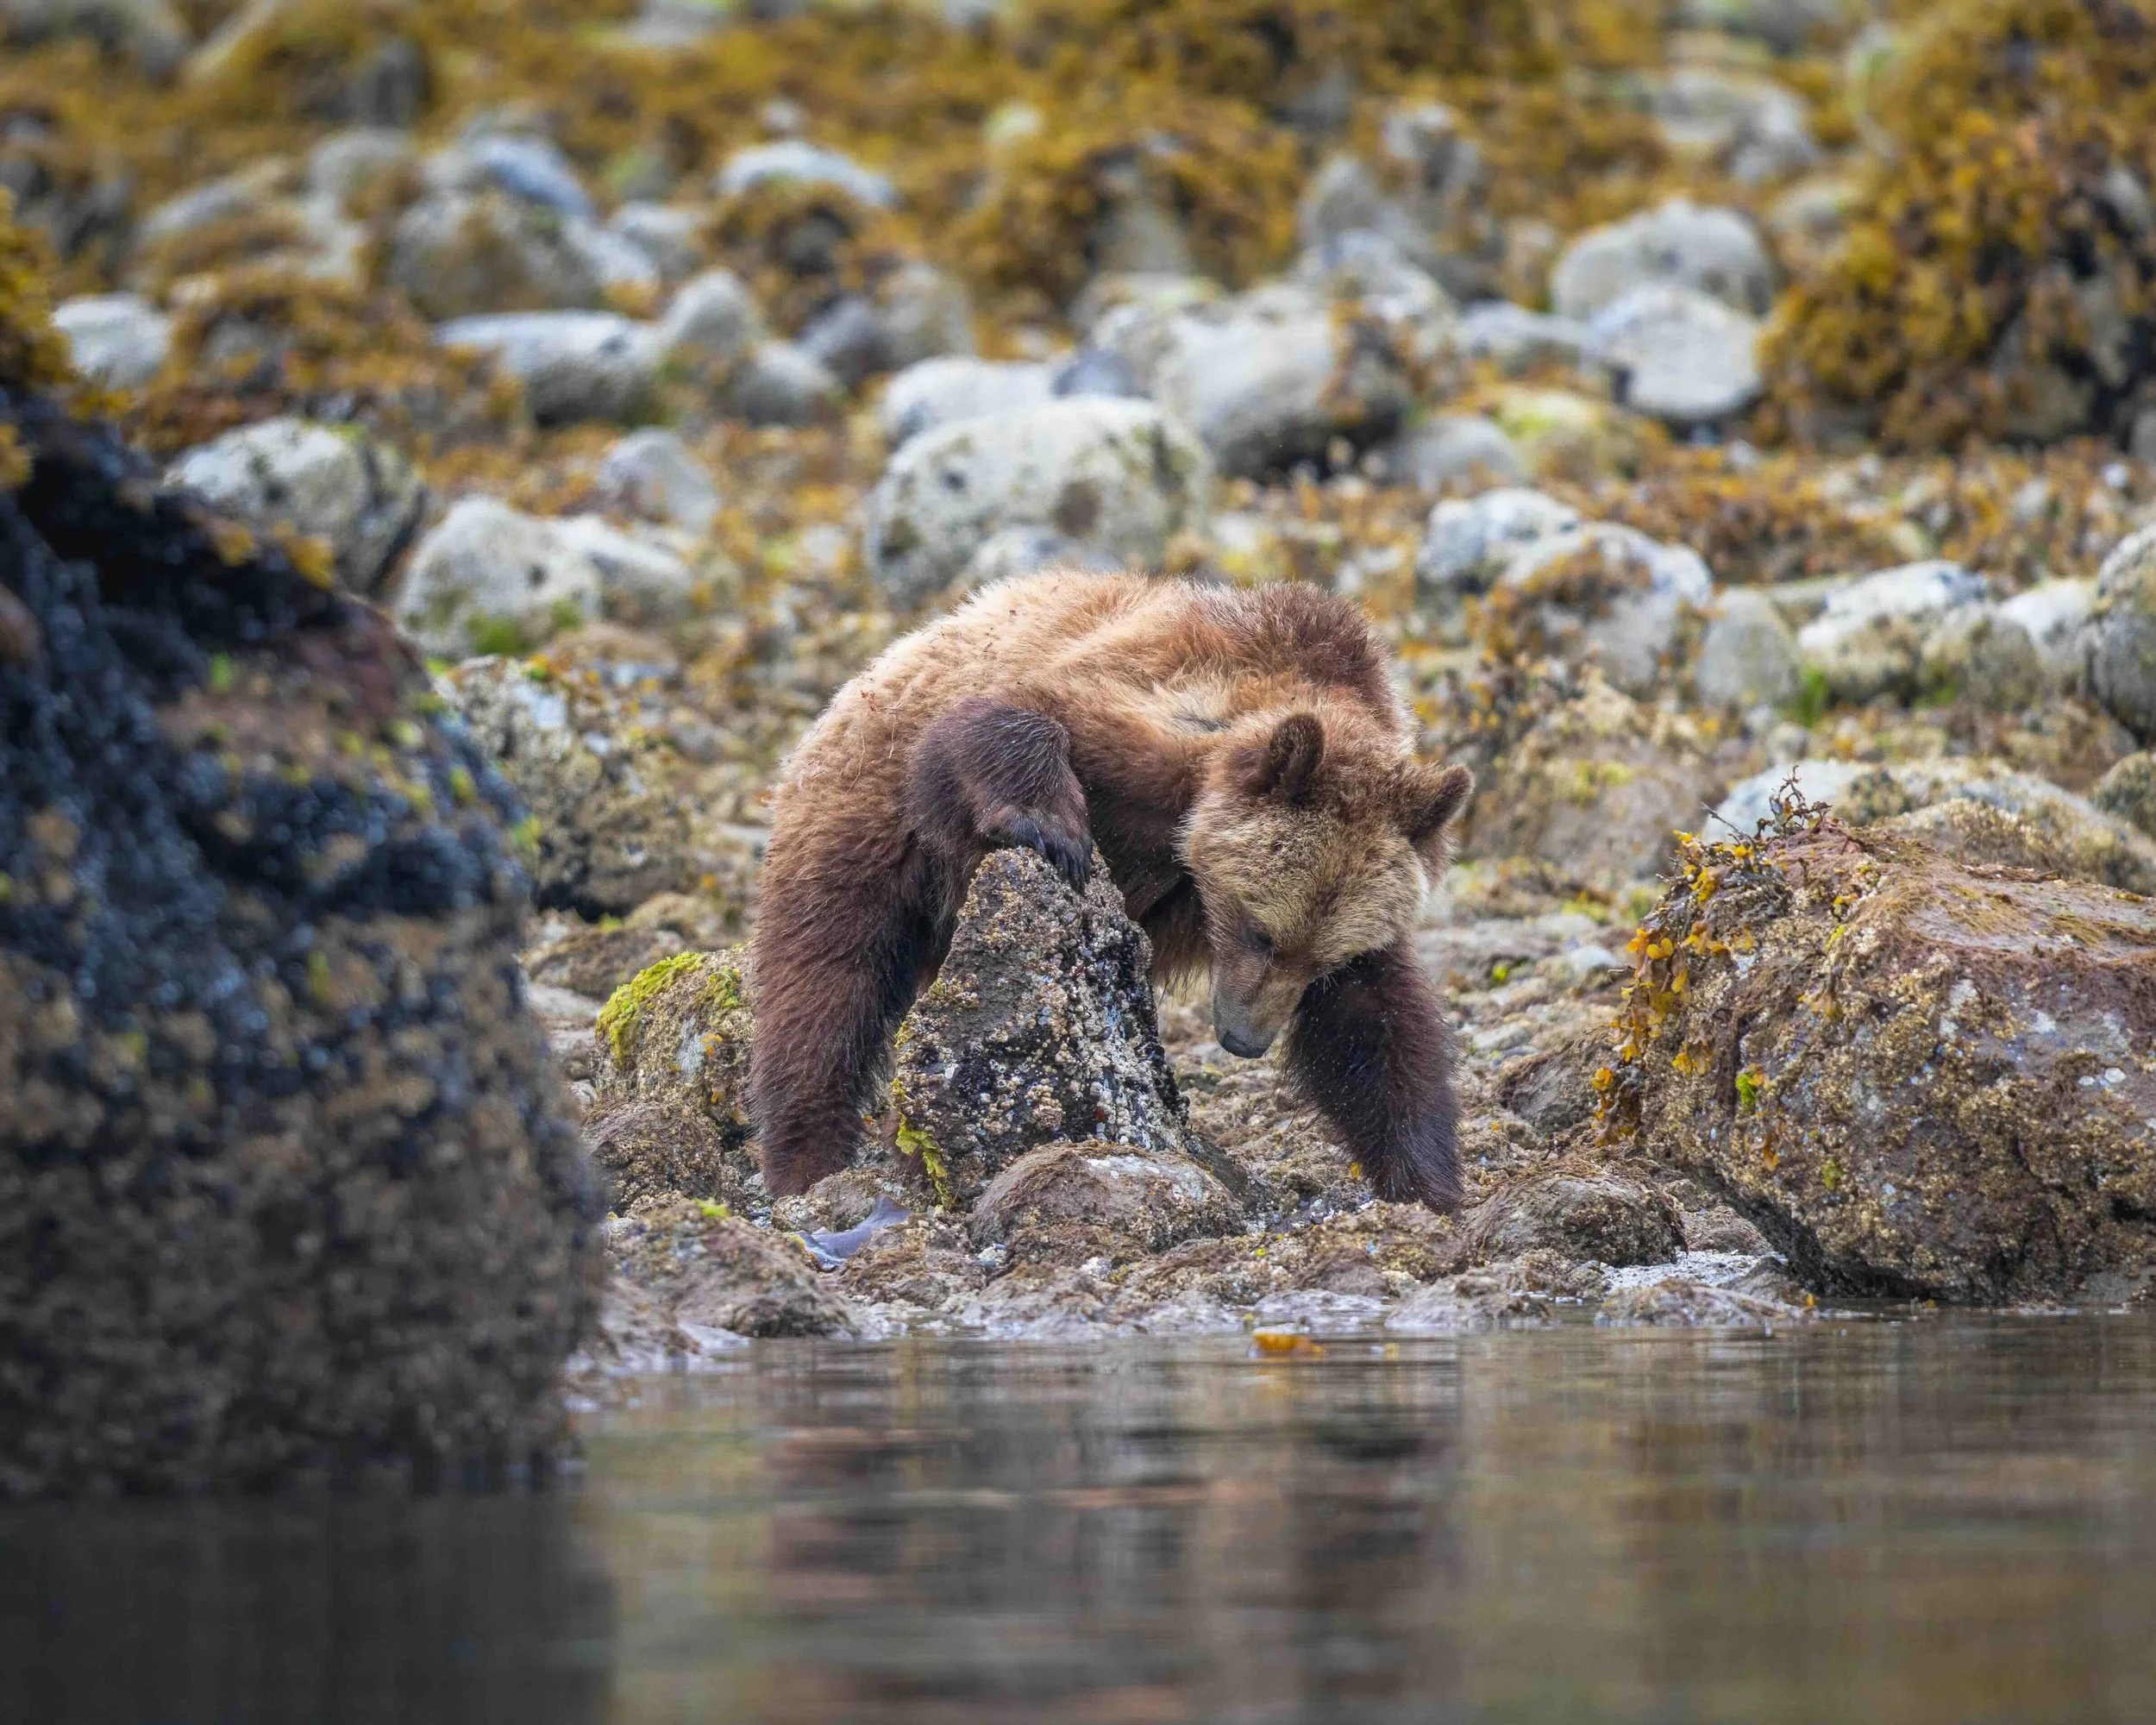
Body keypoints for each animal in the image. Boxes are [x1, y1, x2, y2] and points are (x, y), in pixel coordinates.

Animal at [748, 571, 1477, 1210]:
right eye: (1260, 931)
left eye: (1323, 958)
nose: (1244, 1039)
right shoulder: (1146, 731)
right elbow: (1003, 719)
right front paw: (1050, 825)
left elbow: (1374, 1023)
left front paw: (1427, 1182)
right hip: (864, 820)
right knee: (827, 981)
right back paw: (807, 1157)